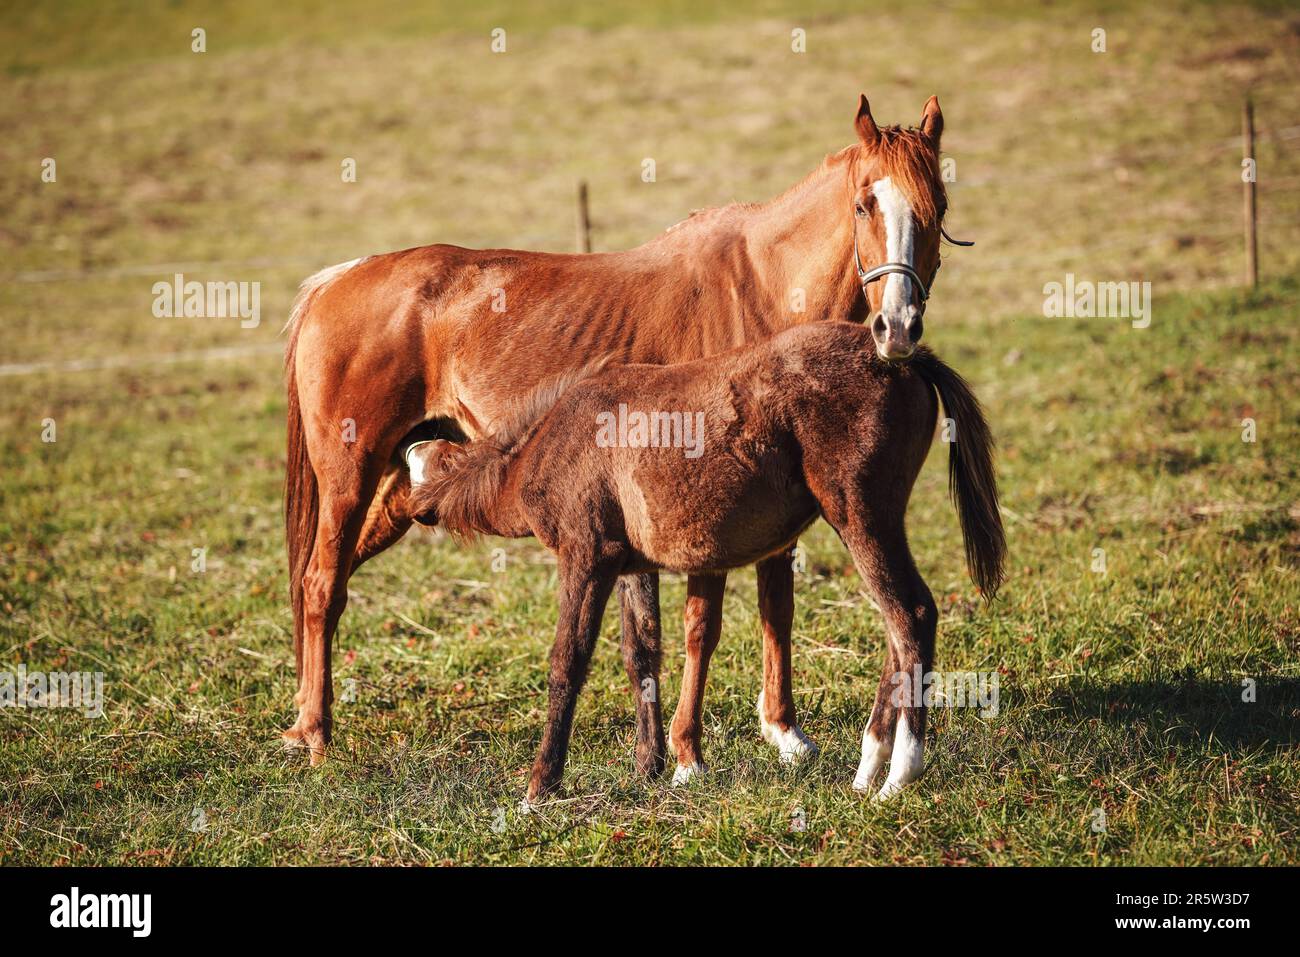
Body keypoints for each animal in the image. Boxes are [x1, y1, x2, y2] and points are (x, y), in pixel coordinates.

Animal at [284, 93, 956, 774]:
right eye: (863, 204)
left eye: (939, 207)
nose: (898, 325)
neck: (757, 286)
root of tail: (338, 280)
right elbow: (700, 625)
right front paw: (686, 752)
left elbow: (775, 607)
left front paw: (782, 731)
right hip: (350, 477)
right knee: (320, 585)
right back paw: (314, 732)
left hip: (404, 487)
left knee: (325, 579)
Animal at [408, 325, 1003, 806]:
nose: (410, 510)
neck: (553, 439)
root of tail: (900, 358)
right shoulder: (632, 566)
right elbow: (646, 651)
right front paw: (655, 766)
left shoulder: (587, 557)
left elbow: (567, 662)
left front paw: (540, 787)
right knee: (896, 628)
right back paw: (866, 769)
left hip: (861, 518)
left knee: (911, 614)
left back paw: (898, 776)